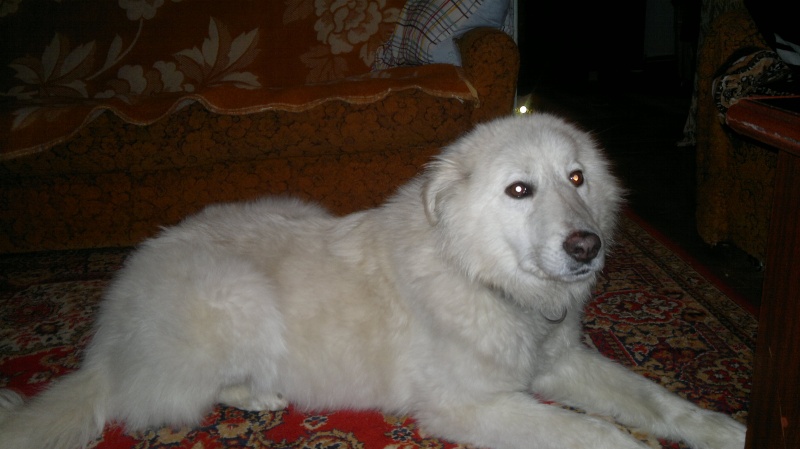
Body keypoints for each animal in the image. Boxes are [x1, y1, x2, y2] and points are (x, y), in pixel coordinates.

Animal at [0, 114, 746, 449]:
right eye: (519, 190)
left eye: (578, 178)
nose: (587, 246)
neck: (478, 276)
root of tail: (104, 339)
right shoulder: (467, 406)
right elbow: (603, 436)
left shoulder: (560, 363)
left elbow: (659, 401)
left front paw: (727, 429)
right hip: (239, 296)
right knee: (159, 402)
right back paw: (258, 395)